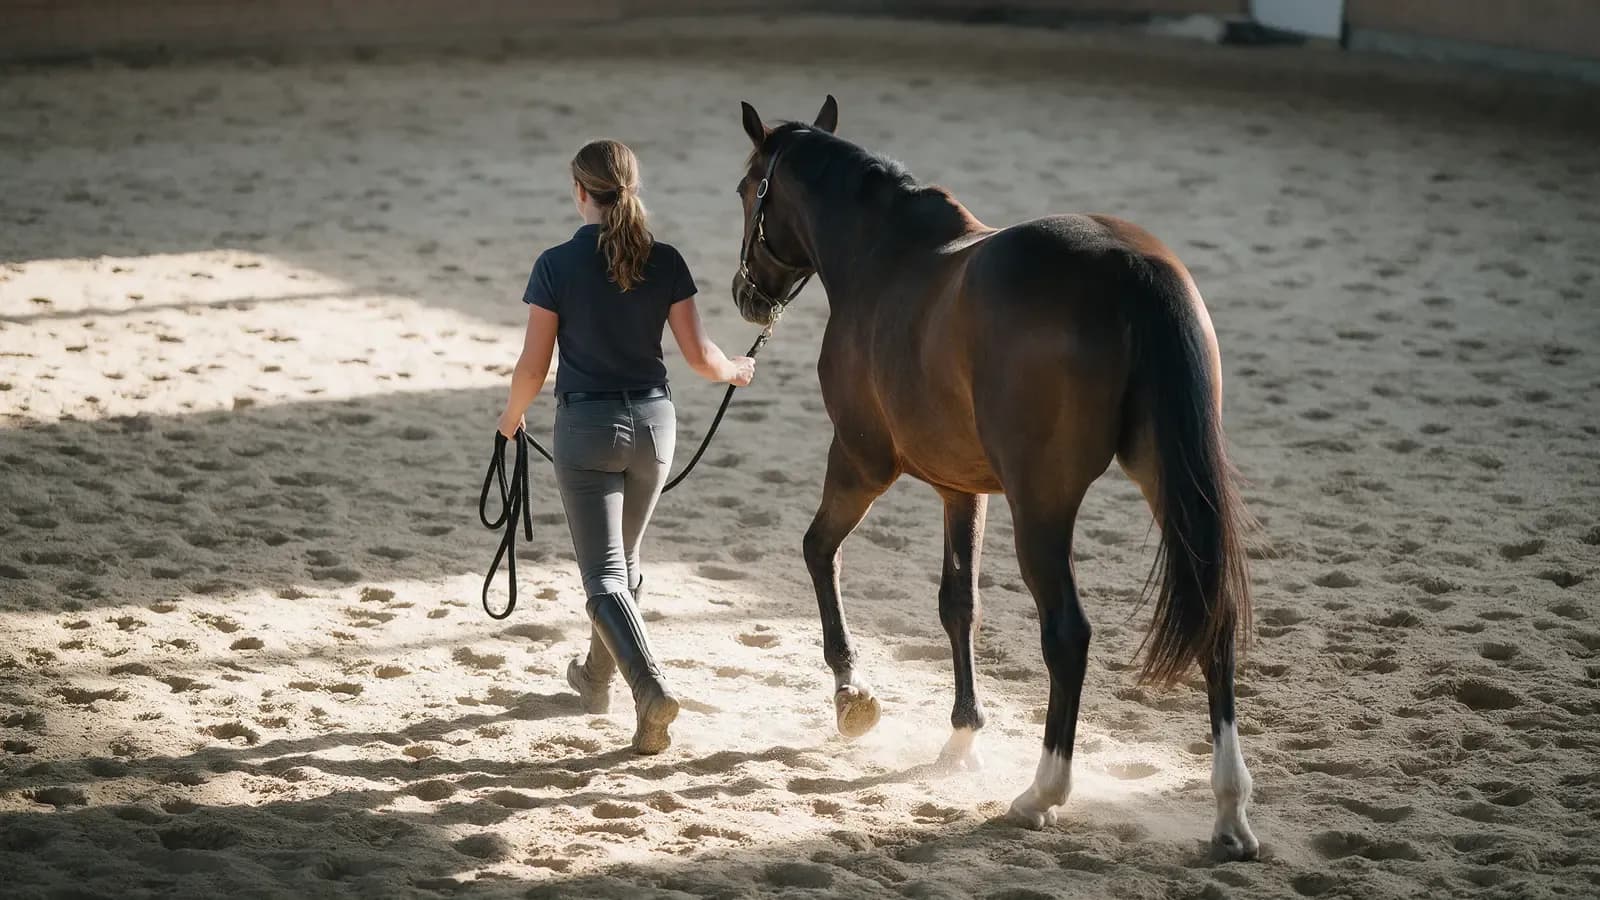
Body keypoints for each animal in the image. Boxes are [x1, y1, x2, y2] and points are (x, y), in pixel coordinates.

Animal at [728, 96, 1259, 859]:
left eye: (748, 192)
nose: (745, 294)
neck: (885, 258)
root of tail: (1132, 268)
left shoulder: (860, 460)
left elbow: (818, 550)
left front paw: (851, 694)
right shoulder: (963, 487)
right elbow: (959, 604)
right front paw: (962, 737)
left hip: (1041, 505)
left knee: (1067, 635)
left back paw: (1043, 793)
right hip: (1171, 485)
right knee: (1214, 619)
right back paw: (1229, 812)